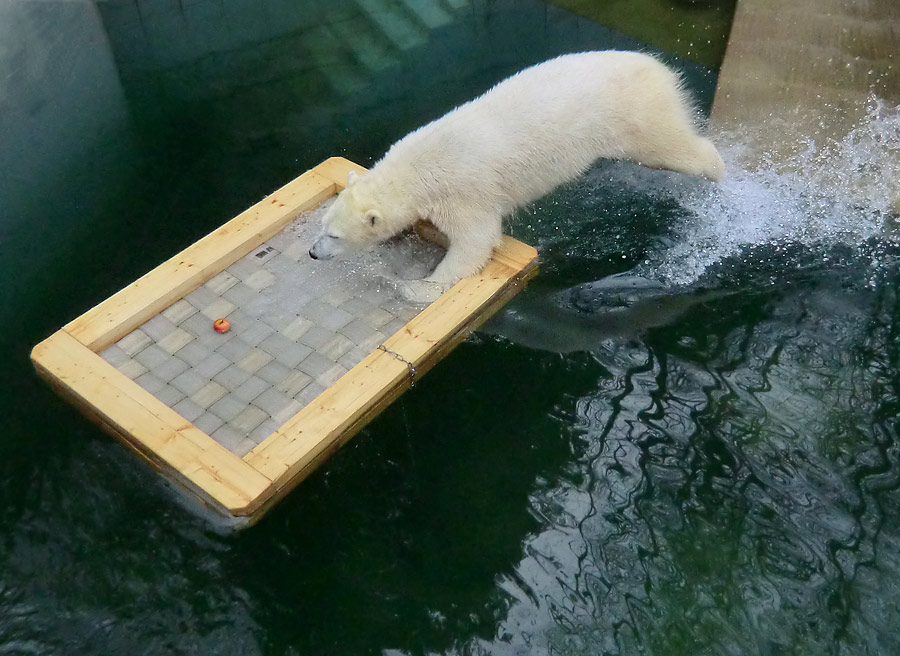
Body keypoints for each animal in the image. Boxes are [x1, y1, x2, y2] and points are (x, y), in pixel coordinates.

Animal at [310, 51, 724, 302]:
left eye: (335, 236)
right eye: (323, 224)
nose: (313, 252)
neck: (417, 168)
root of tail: (659, 68)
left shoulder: (462, 192)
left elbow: (475, 242)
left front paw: (417, 287)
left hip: (635, 117)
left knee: (673, 149)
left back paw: (720, 171)